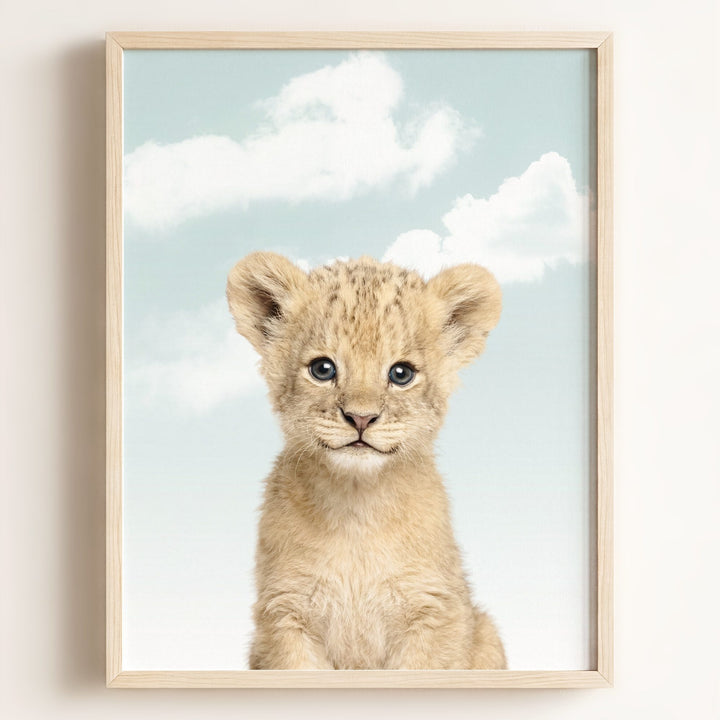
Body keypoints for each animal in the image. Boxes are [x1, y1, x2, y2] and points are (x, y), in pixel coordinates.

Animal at [227, 252, 506, 670]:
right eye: (323, 369)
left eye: (401, 373)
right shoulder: (285, 615)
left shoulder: (435, 612)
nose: (360, 418)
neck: (356, 509)